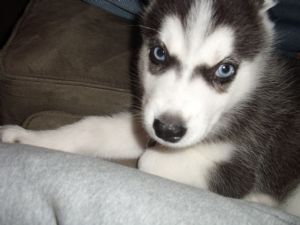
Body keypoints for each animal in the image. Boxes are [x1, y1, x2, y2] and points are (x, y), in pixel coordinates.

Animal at [1, 0, 300, 216]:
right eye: (159, 53)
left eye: (225, 69)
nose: (167, 130)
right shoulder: (144, 119)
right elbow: (92, 129)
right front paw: (26, 138)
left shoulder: (243, 166)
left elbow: (148, 160)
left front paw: (259, 198)